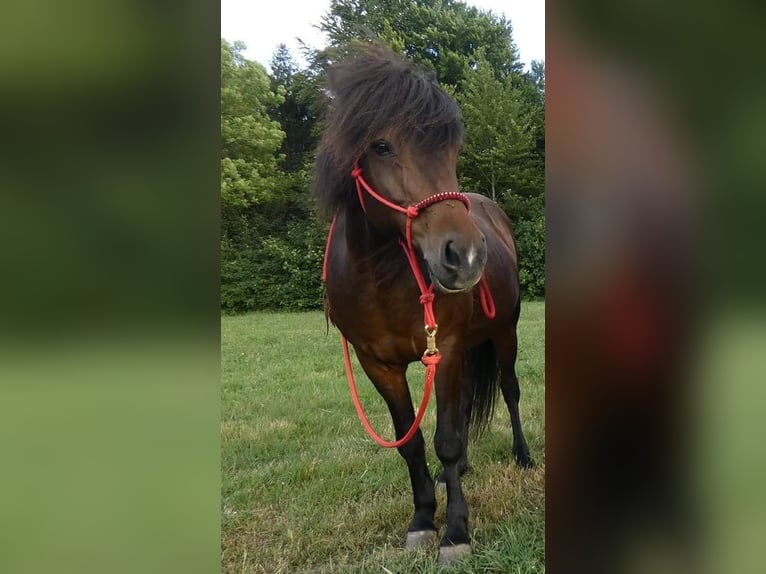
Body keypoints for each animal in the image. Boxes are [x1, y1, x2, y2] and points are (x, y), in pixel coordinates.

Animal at [314, 44, 532, 565]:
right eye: (381, 146)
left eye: (451, 150)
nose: (465, 256)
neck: (378, 277)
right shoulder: (379, 364)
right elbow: (411, 444)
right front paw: (421, 520)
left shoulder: (445, 350)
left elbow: (446, 440)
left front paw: (455, 533)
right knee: (469, 401)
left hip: (505, 333)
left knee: (509, 391)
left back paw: (523, 456)